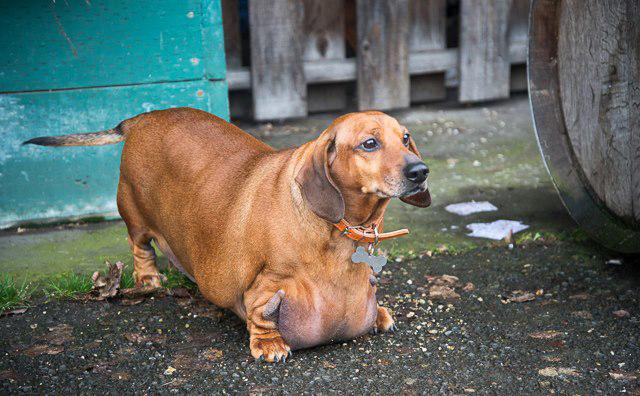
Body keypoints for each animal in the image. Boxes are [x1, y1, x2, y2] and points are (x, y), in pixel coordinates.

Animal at [23, 108, 430, 362]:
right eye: (369, 143)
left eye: (406, 138)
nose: (420, 171)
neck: (342, 229)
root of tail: (143, 118)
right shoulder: (264, 286)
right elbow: (261, 313)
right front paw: (270, 344)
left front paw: (379, 313)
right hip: (134, 212)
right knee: (140, 246)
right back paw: (149, 279)